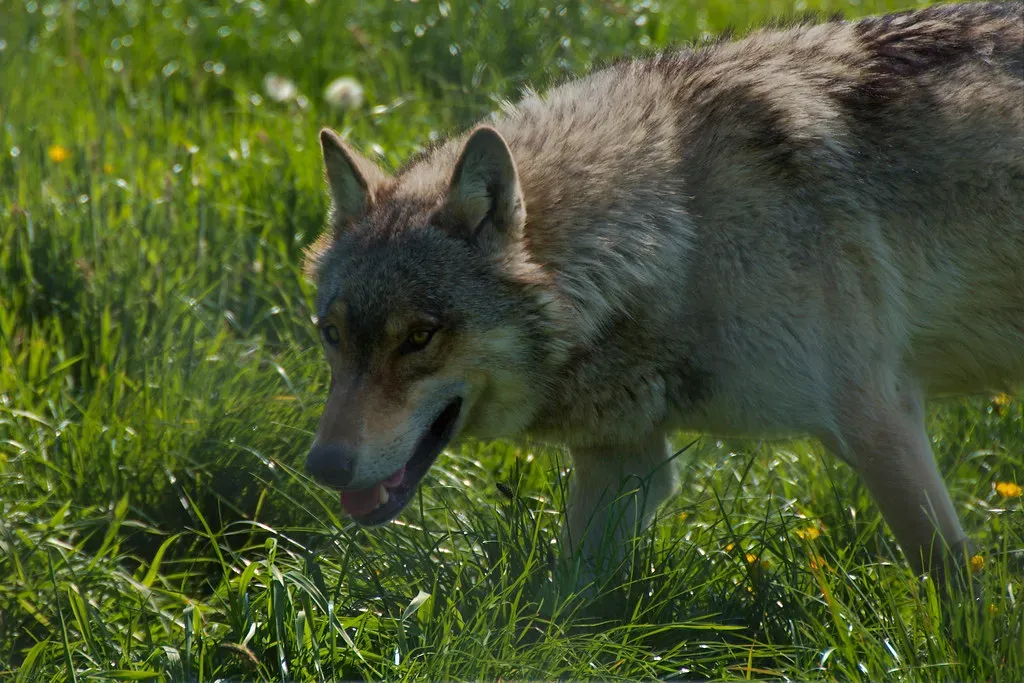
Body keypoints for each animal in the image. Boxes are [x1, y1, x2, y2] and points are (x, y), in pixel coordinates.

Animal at [302, 2, 1024, 585]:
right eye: (332, 335)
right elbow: (560, 606)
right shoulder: (623, 460)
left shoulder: (880, 421)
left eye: (419, 337)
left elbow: (952, 581)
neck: (681, 231)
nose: (323, 466)